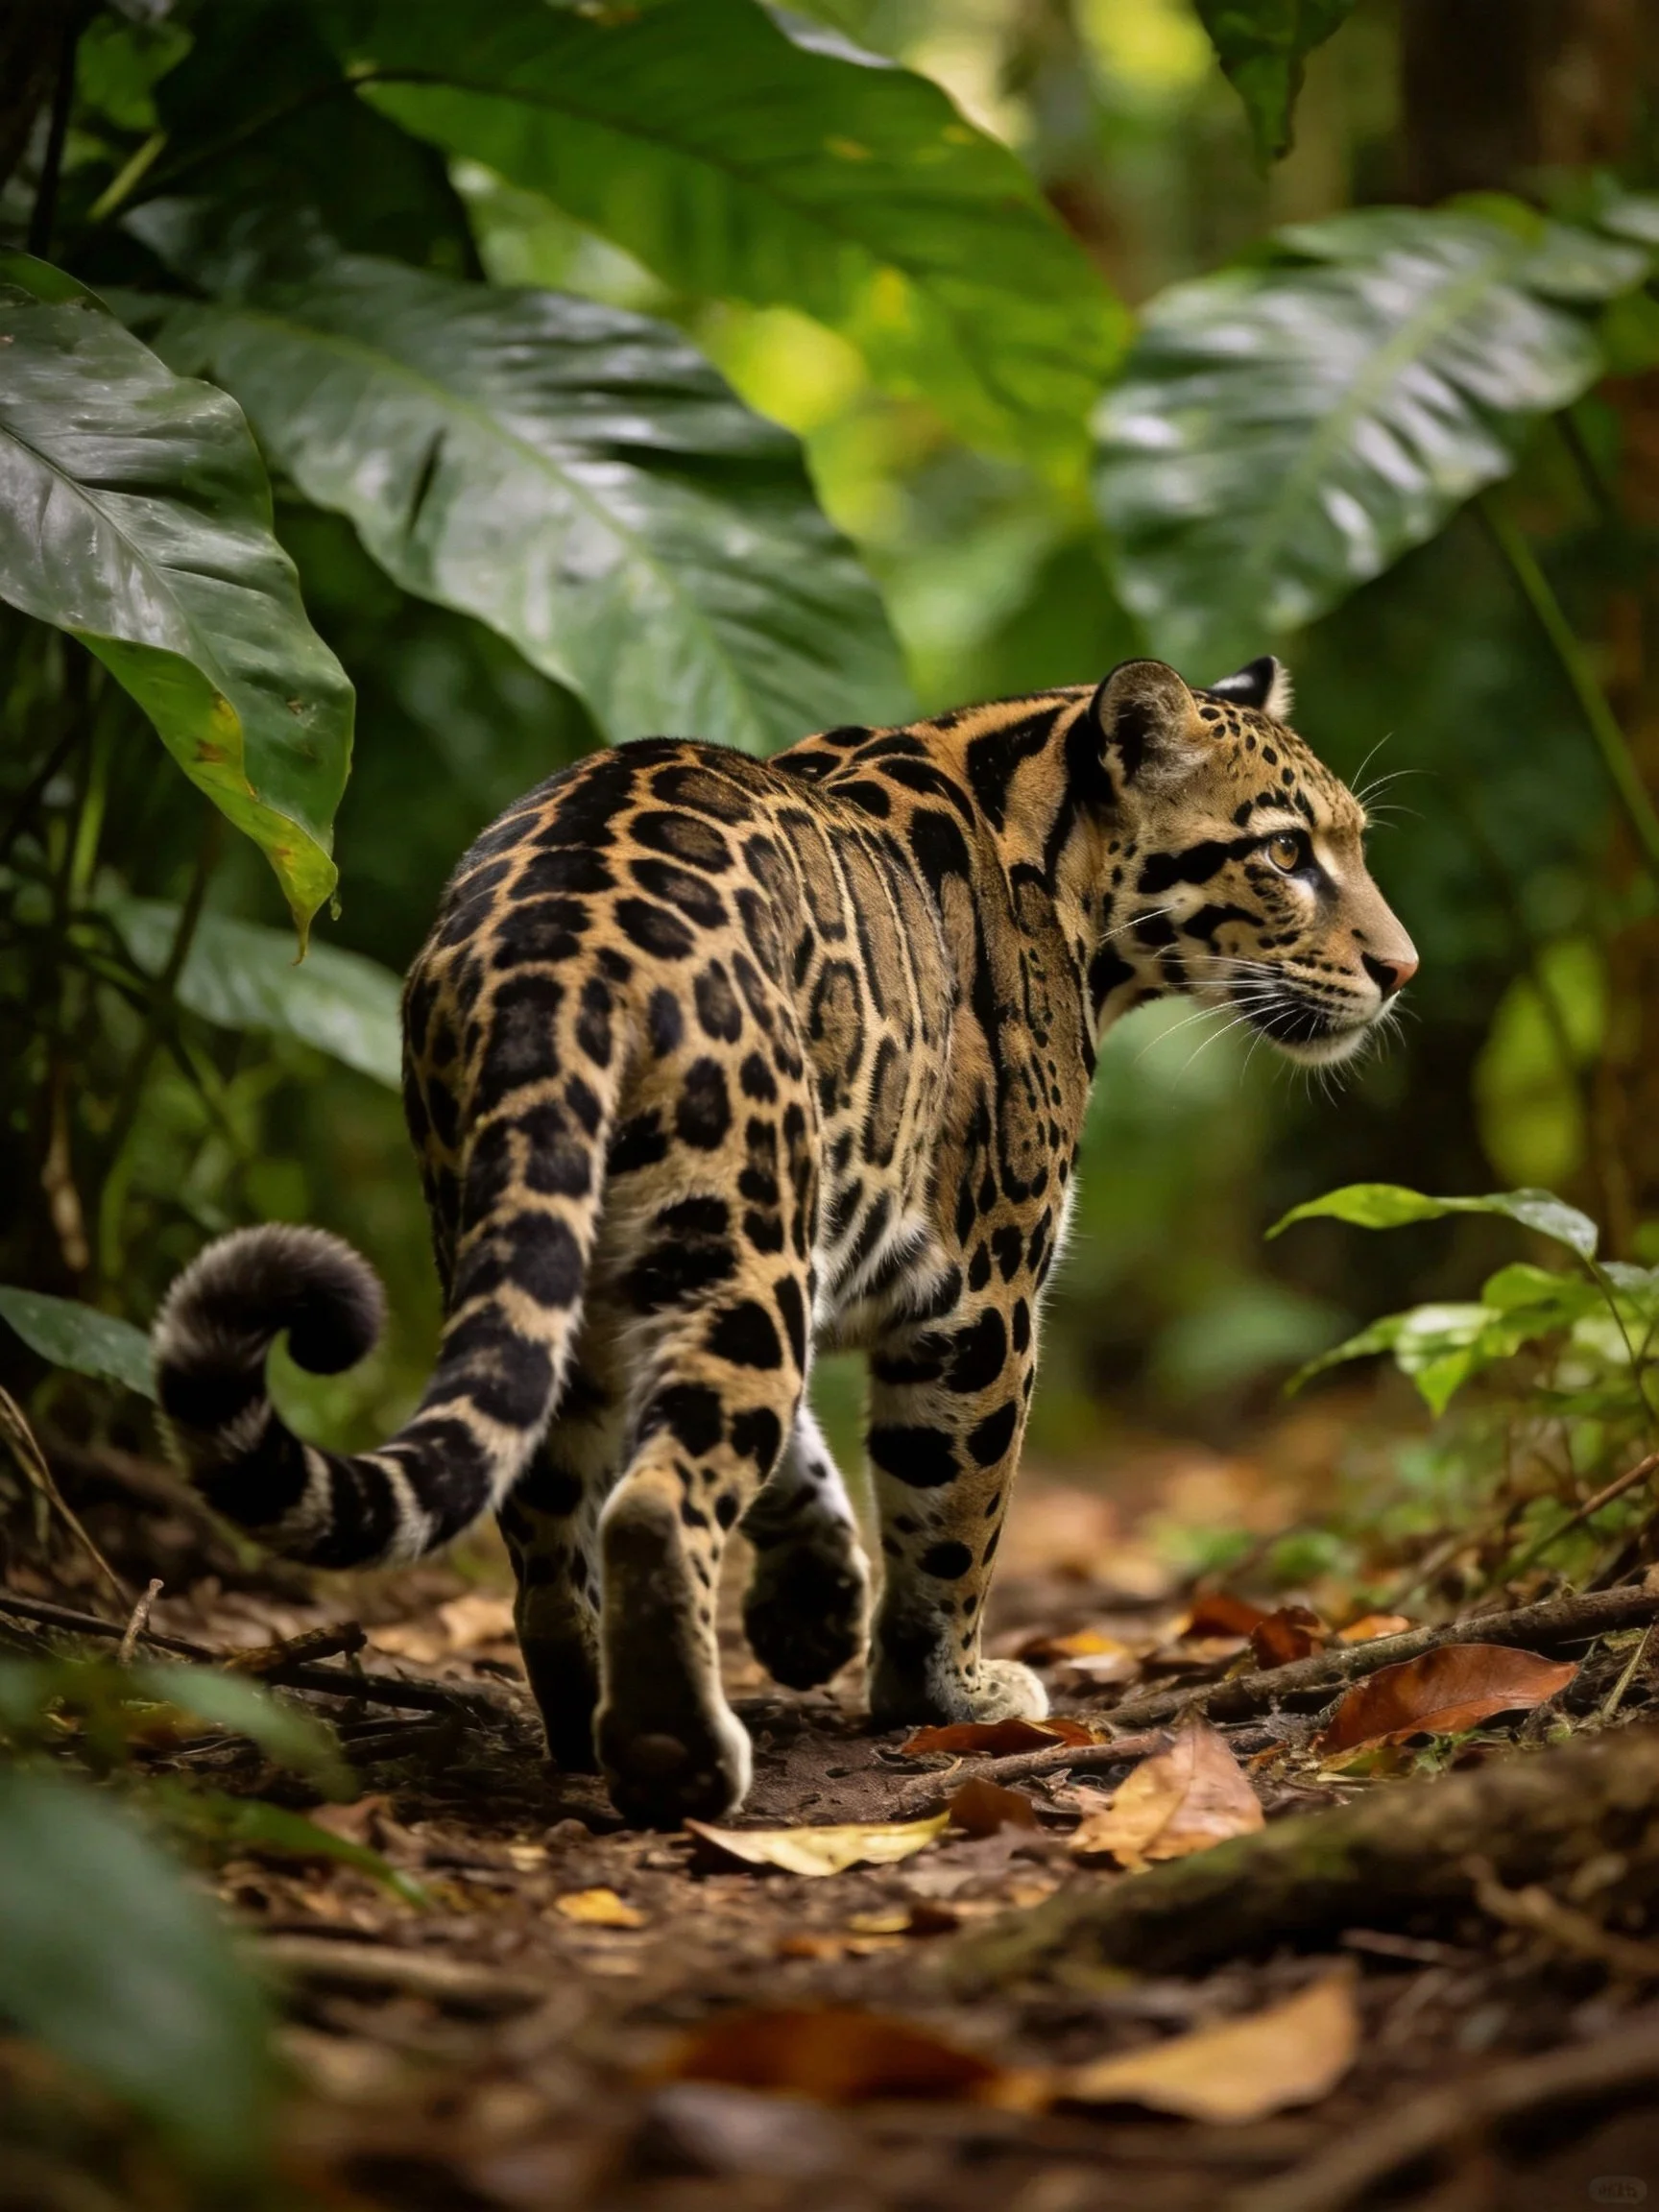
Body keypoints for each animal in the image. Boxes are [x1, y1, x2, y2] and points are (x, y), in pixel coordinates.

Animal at [152, 654, 1417, 1826]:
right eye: (1287, 853)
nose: (1400, 970)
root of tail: (551, 947)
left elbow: (806, 1458)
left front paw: (812, 1611)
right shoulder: (982, 1294)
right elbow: (953, 1513)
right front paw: (945, 1690)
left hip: (566, 1245)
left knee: (558, 1523)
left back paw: (585, 1720)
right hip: (738, 1223)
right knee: (656, 1503)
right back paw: (680, 1757)